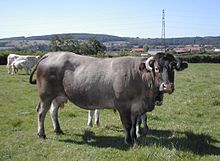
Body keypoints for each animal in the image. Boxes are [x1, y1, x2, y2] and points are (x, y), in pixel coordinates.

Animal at [28, 52, 187, 146]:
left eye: (173, 68)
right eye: (157, 68)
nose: (167, 86)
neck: (139, 76)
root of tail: (51, 54)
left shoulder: (136, 108)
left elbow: (135, 123)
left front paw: (135, 139)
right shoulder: (123, 106)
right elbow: (128, 125)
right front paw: (128, 141)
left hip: (58, 96)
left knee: (53, 111)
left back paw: (58, 129)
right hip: (46, 96)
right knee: (41, 112)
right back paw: (41, 134)